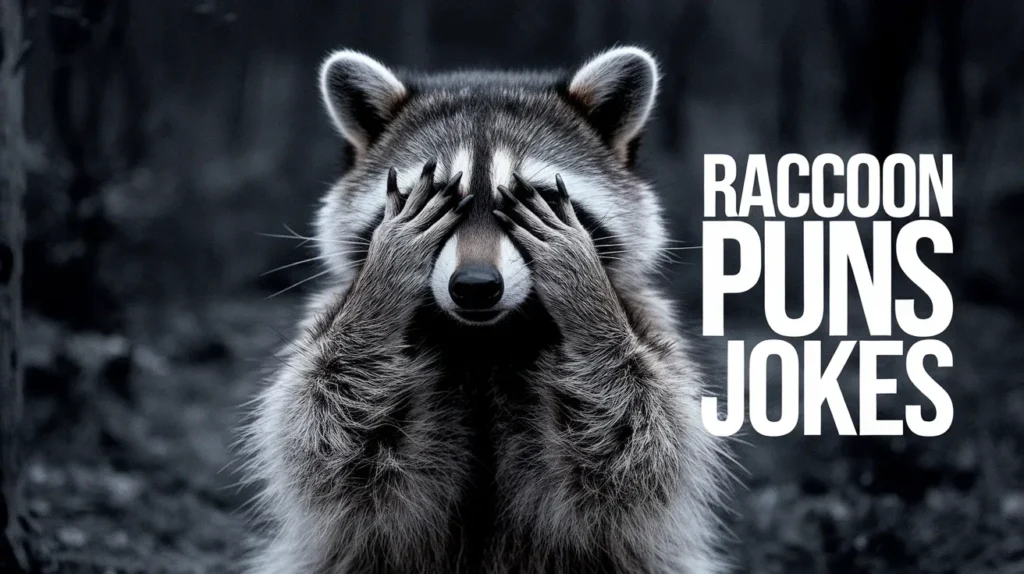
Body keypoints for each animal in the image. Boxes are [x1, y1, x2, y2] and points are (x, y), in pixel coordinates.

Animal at [244, 46, 731, 574]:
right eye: (429, 200)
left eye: (538, 200)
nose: (475, 288)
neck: (486, 337)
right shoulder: (327, 321)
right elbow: (328, 440)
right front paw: (385, 280)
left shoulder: (647, 321)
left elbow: (639, 445)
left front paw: (583, 291)